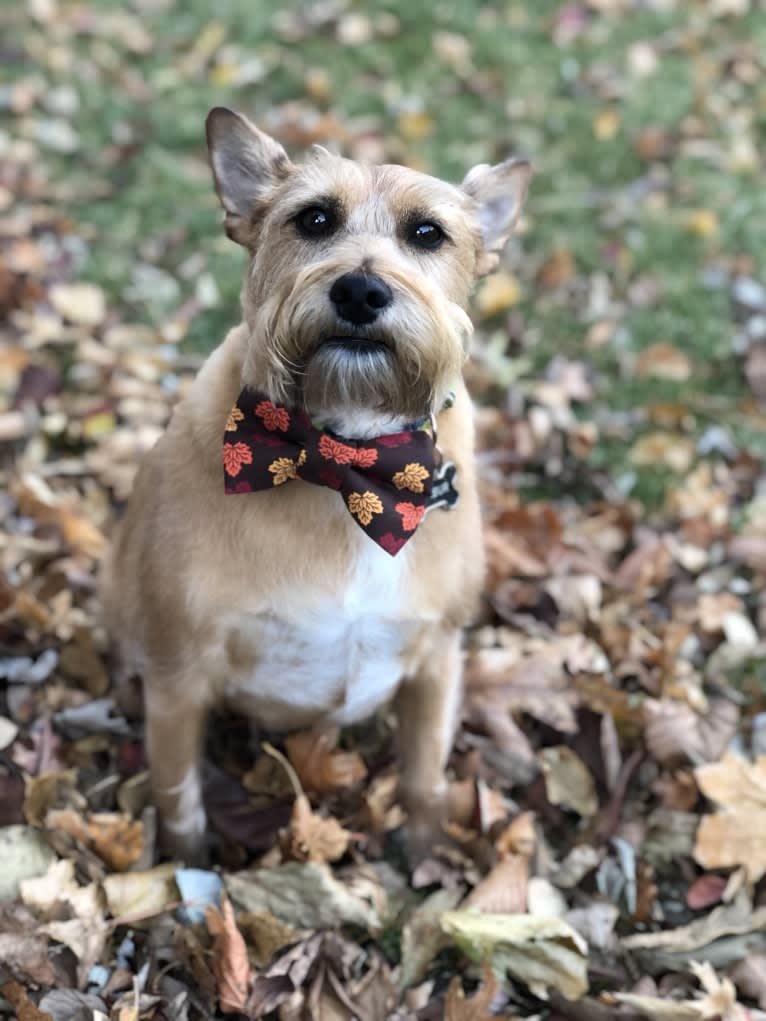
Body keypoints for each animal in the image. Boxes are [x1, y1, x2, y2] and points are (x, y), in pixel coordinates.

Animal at [100, 109, 535, 861]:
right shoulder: (177, 676)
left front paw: (424, 856)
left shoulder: (438, 658)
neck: (348, 460)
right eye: (314, 219)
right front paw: (185, 870)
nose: (360, 290)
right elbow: (179, 798)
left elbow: (425, 776)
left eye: (428, 233)